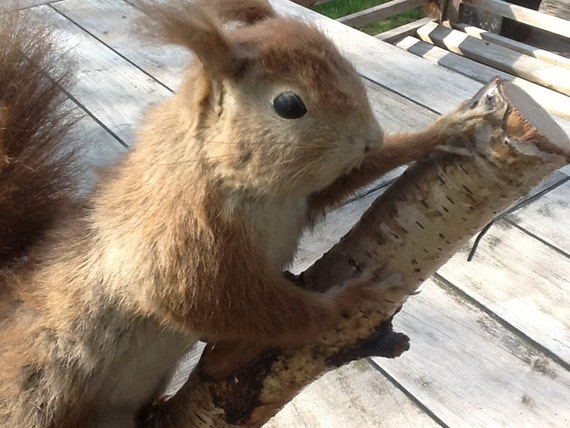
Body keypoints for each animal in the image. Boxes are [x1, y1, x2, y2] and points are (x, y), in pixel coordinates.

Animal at [1, 0, 448, 428]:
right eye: (289, 104)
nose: (371, 139)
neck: (264, 193)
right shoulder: (172, 236)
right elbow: (215, 301)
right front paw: (352, 299)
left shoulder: (302, 197)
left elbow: (342, 182)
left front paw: (437, 134)